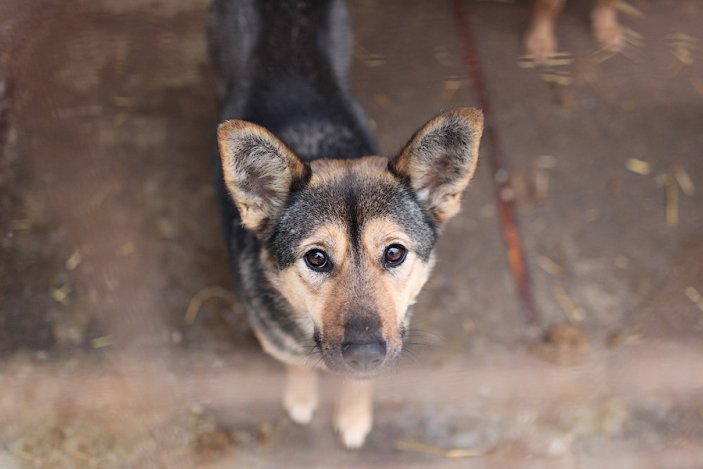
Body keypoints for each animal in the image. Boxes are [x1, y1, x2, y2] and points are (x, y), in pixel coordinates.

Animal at [209, 0, 484, 448]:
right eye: (316, 258)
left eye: (395, 253)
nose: (365, 354)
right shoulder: (279, 342)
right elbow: (297, 364)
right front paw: (302, 397)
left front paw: (354, 415)